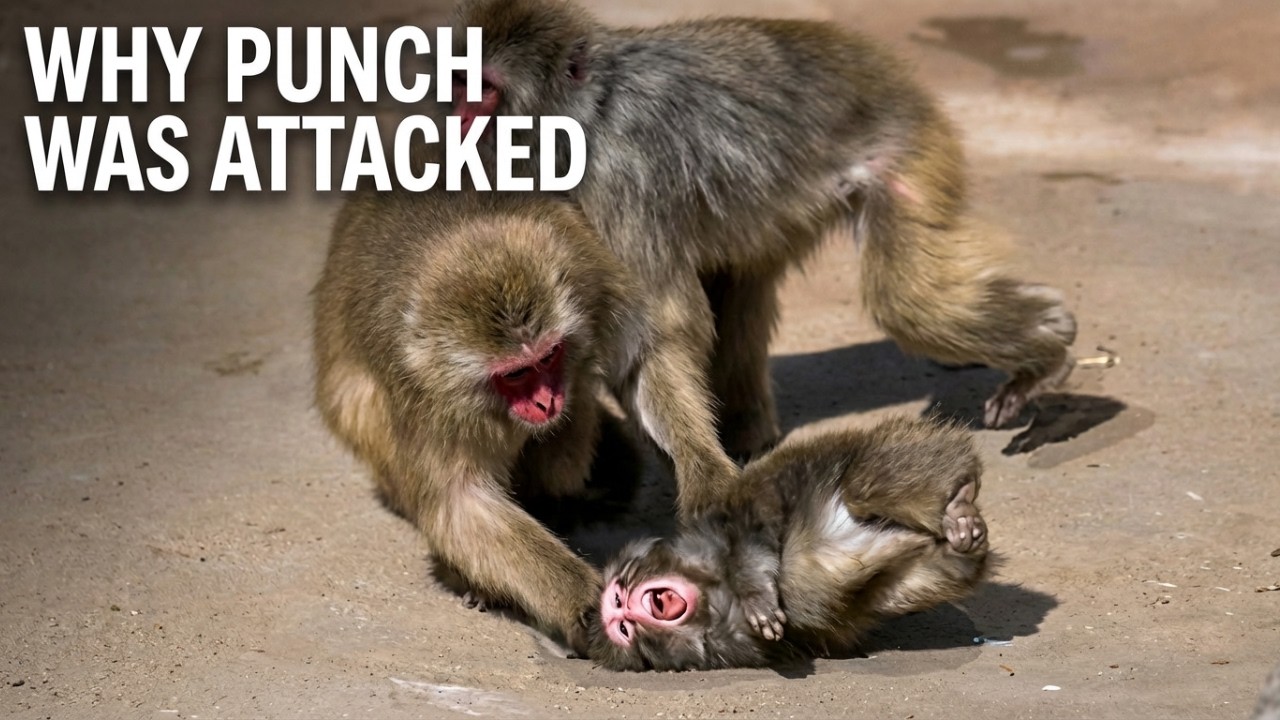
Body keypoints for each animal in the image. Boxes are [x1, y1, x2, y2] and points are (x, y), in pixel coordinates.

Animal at [312, 186, 645, 654]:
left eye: (549, 357)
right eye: (516, 374)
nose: (546, 402)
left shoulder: (592, 277)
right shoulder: (425, 394)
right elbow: (461, 503)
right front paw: (583, 607)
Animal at [447, 0, 1078, 517]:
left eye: (486, 90)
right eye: (458, 81)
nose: (457, 119)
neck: (588, 115)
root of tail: (880, 64)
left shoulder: (619, 175)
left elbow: (656, 335)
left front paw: (702, 471)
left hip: (907, 144)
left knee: (908, 301)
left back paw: (1049, 348)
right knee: (741, 284)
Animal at [587, 416, 992, 671]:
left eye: (618, 598)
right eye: (622, 628)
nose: (628, 611)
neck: (715, 594)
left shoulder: (718, 527)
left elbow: (756, 520)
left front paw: (756, 595)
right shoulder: (733, 645)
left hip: (898, 444)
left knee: (860, 488)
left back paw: (959, 501)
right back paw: (961, 534)